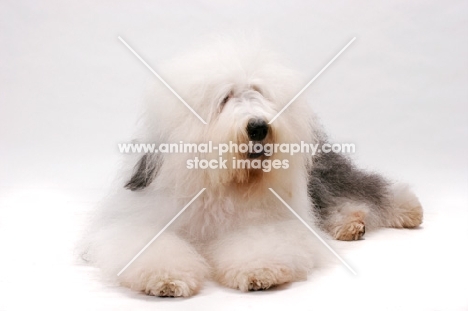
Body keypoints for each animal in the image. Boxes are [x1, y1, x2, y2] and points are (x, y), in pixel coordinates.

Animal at [84, 36, 424, 298]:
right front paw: (166, 279)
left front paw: (260, 272)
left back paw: (399, 211)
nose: (259, 127)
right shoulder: (141, 220)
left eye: (259, 93)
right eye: (224, 99)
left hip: (324, 174)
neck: (224, 184)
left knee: (364, 189)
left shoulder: (272, 222)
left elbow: (260, 242)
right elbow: (151, 246)